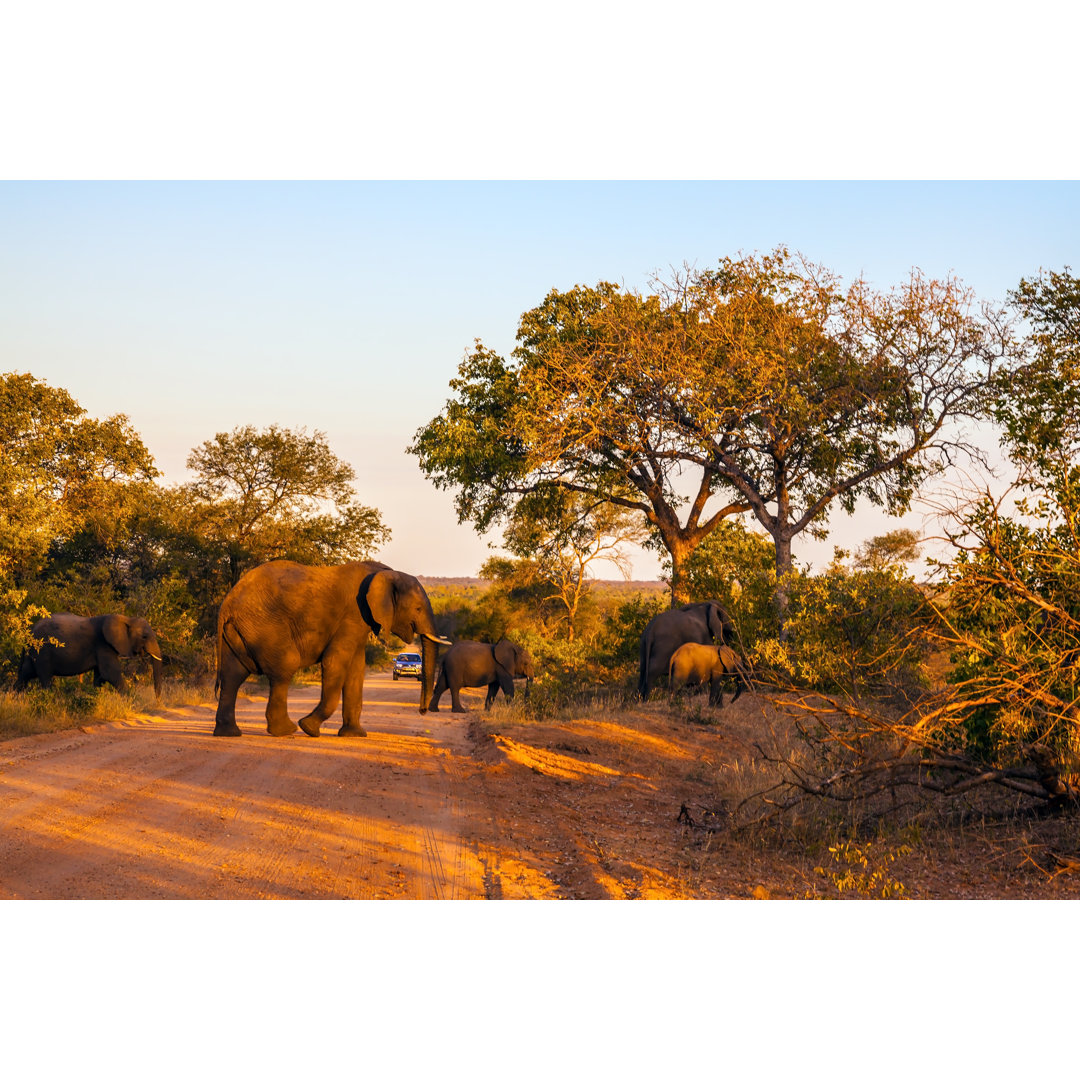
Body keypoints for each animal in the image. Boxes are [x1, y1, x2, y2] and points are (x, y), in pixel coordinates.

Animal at [16, 613, 164, 695]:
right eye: (144, 637)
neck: (127, 619)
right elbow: (110, 673)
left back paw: (15, 697)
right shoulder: (103, 644)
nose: (158, 702)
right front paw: (132, 702)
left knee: (26, 672)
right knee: (45, 677)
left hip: (34, 651)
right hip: (42, 650)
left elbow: (100, 676)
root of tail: (30, 629)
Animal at [212, 561, 449, 738]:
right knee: (284, 667)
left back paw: (229, 733)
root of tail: (228, 603)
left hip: (241, 629)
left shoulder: (360, 621)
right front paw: (309, 728)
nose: (422, 711)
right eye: (417, 609)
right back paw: (286, 730)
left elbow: (356, 670)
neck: (387, 573)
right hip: (264, 624)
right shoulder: (353, 614)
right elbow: (335, 662)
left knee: (233, 675)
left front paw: (354, 735)